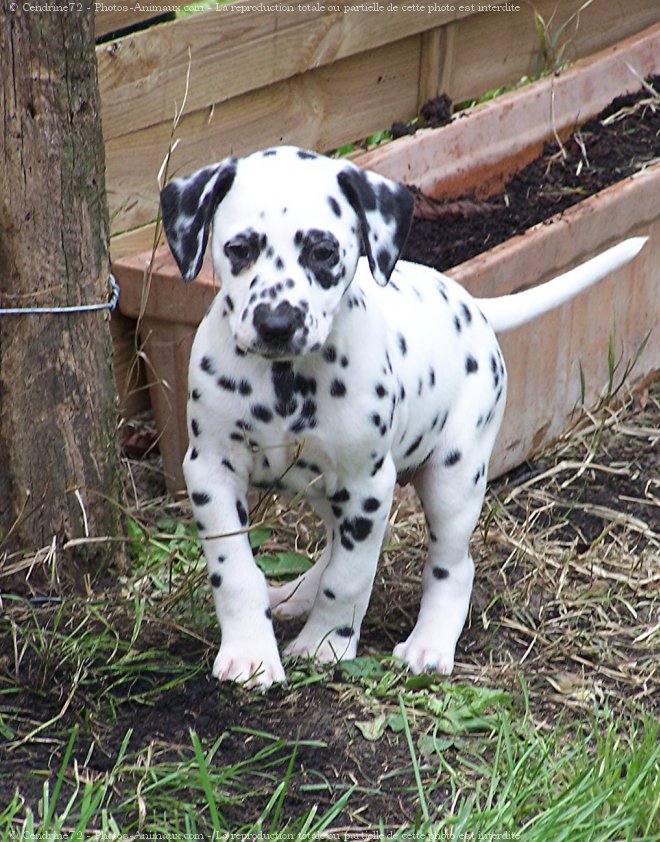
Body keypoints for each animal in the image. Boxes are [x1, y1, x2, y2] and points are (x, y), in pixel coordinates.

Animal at [160, 144, 644, 684]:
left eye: (324, 252)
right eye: (240, 248)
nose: (277, 324)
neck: (287, 381)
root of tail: (471, 303)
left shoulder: (367, 483)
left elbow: (349, 577)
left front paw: (326, 644)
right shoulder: (211, 473)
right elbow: (236, 570)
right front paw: (250, 654)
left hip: (452, 480)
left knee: (453, 566)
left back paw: (428, 645)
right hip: (333, 490)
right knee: (341, 541)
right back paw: (296, 595)